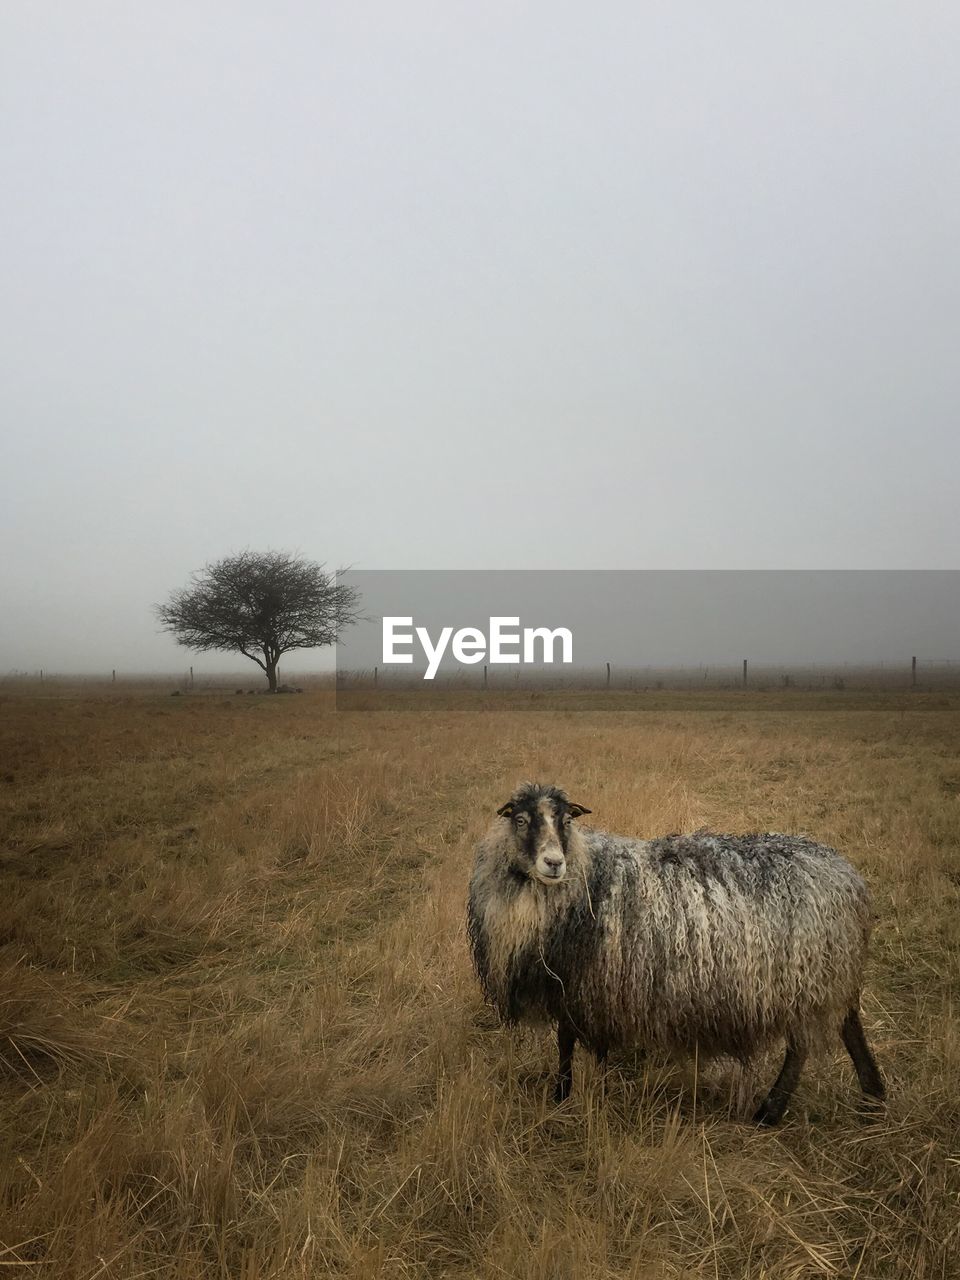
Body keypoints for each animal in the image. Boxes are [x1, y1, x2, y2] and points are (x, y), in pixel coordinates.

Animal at [465, 773, 885, 1126]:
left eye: (567, 820)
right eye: (520, 820)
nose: (554, 863)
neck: (584, 877)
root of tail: (847, 876)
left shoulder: (584, 986)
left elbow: (569, 1043)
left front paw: (569, 1094)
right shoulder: (576, 988)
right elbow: (568, 1043)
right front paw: (572, 1092)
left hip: (803, 983)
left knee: (800, 1049)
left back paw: (770, 1113)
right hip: (829, 976)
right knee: (849, 1026)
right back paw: (873, 1096)